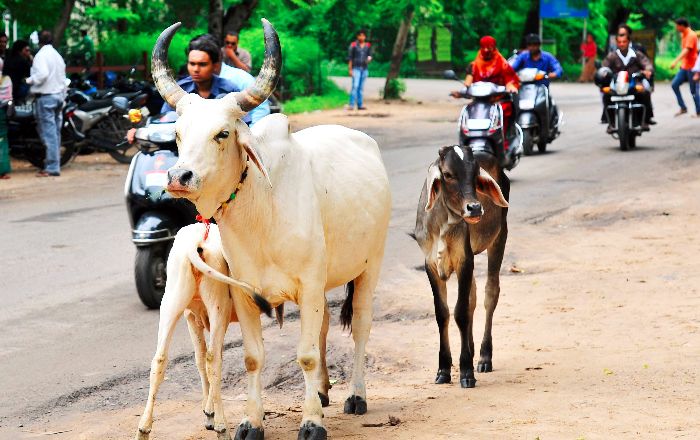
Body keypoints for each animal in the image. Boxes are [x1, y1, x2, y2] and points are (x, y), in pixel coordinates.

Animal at [146, 19, 394, 440]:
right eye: (177, 133)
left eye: (223, 133)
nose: (179, 176)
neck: (262, 214)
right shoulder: (247, 293)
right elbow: (252, 358)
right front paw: (252, 422)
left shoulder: (309, 284)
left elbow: (305, 355)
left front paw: (311, 423)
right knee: (326, 326)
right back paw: (323, 392)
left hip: (370, 264)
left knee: (360, 323)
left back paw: (355, 396)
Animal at [412, 145, 512, 388]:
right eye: (448, 174)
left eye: (475, 174)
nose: (474, 208)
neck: (442, 222)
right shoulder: (430, 265)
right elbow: (443, 313)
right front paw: (444, 369)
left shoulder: (464, 261)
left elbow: (461, 312)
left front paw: (466, 370)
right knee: (473, 298)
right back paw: (473, 349)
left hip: (499, 237)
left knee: (490, 294)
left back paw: (484, 357)